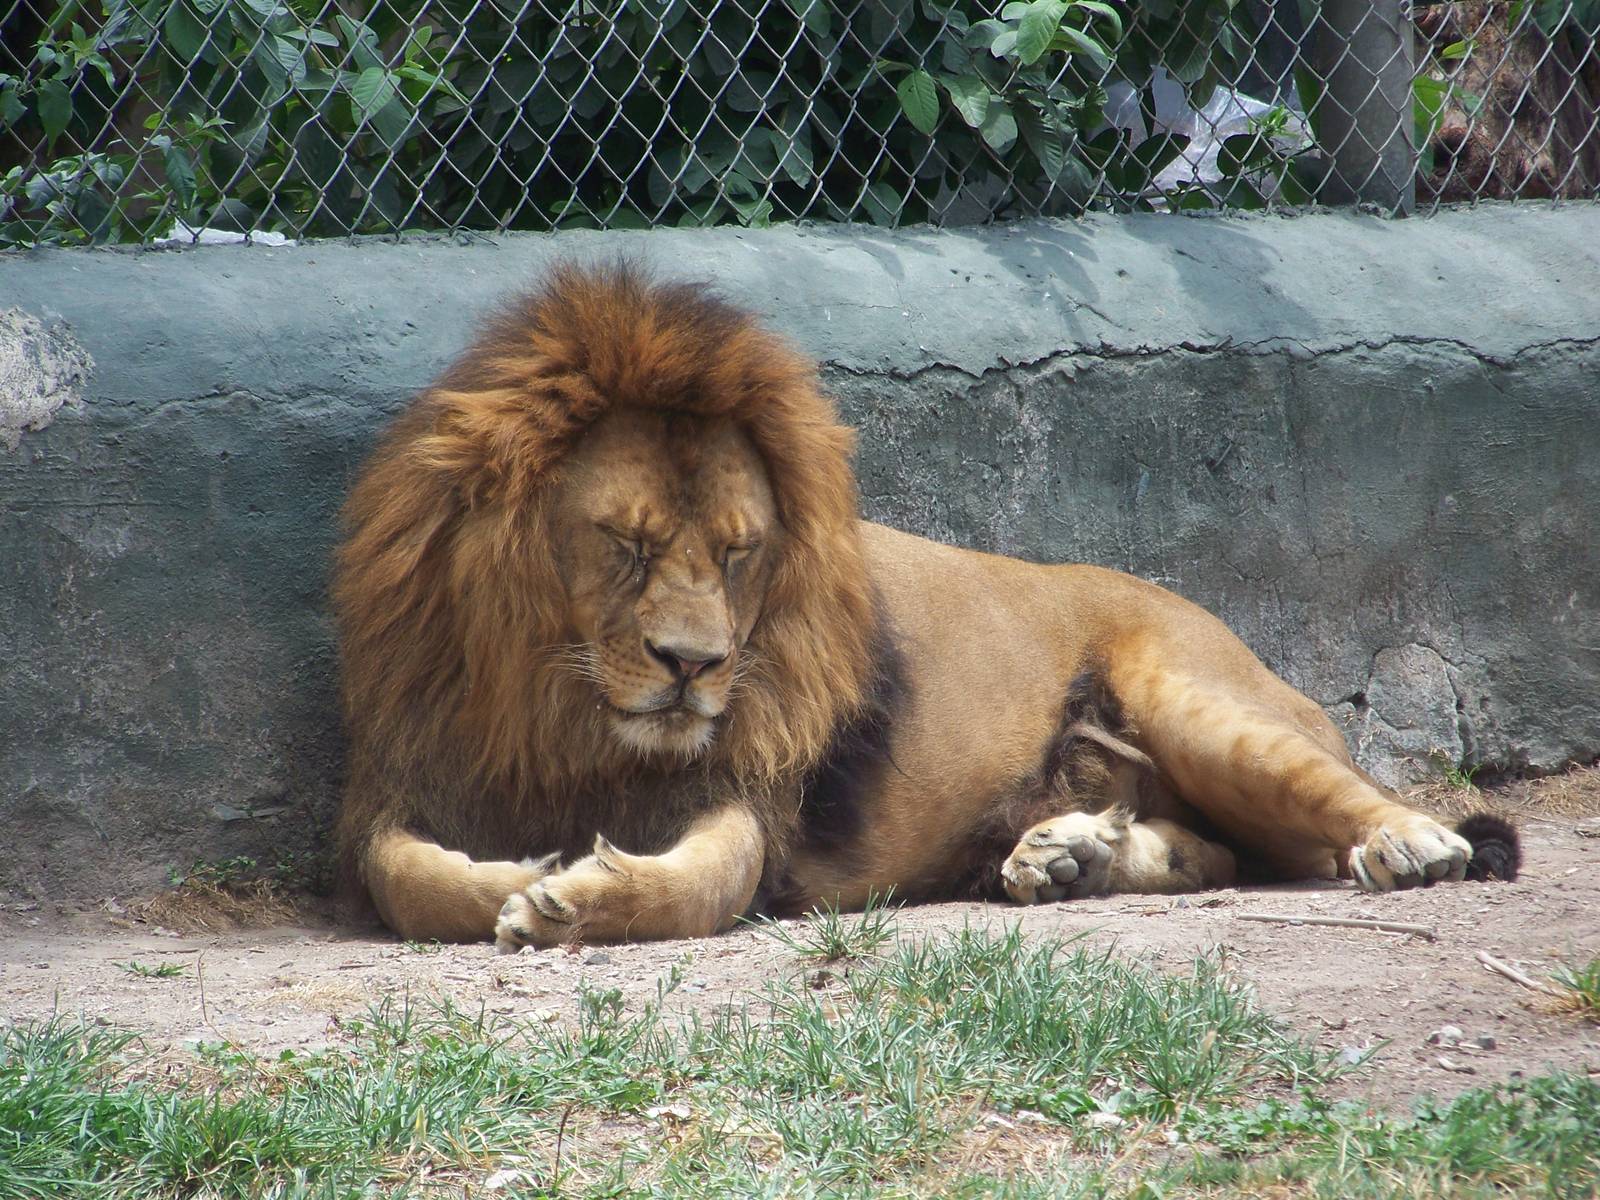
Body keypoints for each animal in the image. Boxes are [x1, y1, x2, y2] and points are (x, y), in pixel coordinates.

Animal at [333, 264, 1520, 950]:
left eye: (739, 553)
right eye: (624, 545)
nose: (694, 666)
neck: (558, 706)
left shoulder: (744, 792)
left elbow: (702, 885)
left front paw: (568, 900)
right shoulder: (401, 775)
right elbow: (398, 880)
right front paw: (510, 872)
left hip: (1198, 701)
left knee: (1351, 807)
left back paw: (1408, 845)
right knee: (1220, 857)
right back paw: (1069, 856)